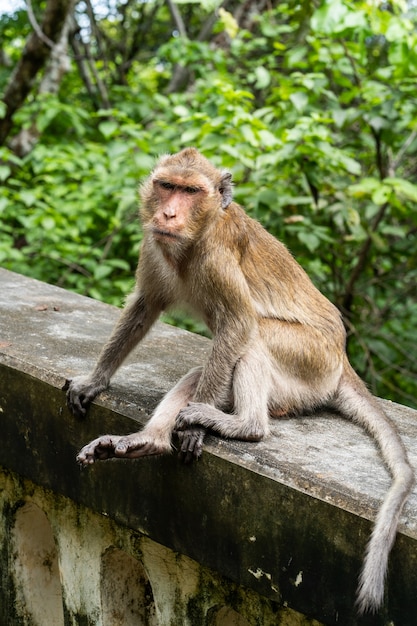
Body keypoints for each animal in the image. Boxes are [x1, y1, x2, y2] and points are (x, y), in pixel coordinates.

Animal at [64, 147, 412, 616]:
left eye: (191, 191)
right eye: (167, 186)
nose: (168, 213)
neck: (191, 241)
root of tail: (341, 360)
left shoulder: (217, 258)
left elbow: (237, 324)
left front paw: (195, 430)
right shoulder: (155, 246)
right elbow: (144, 306)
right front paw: (95, 380)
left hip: (310, 362)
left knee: (254, 335)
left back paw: (242, 425)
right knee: (202, 372)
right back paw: (147, 442)